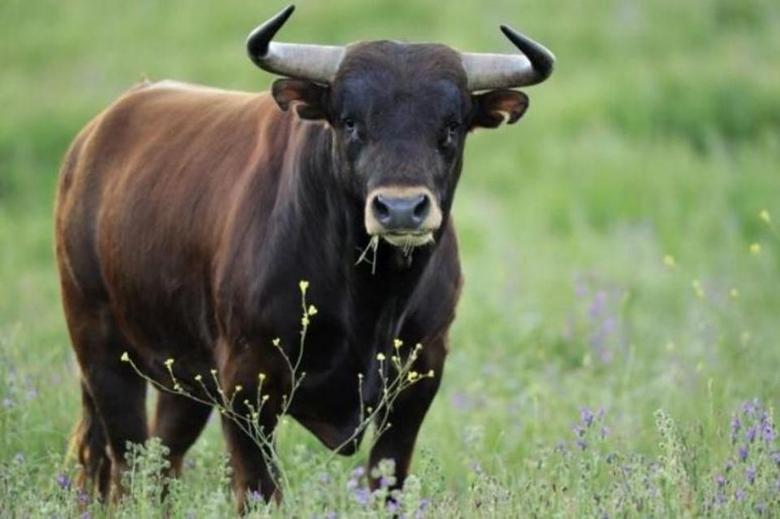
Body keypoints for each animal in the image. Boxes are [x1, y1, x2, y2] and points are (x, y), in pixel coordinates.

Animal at [53, 4, 556, 512]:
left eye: (451, 125)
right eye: (350, 121)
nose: (400, 208)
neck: (371, 298)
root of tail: (93, 138)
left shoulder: (421, 375)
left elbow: (387, 480)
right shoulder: (246, 383)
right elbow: (259, 490)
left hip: (181, 378)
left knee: (162, 460)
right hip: (101, 349)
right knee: (125, 466)